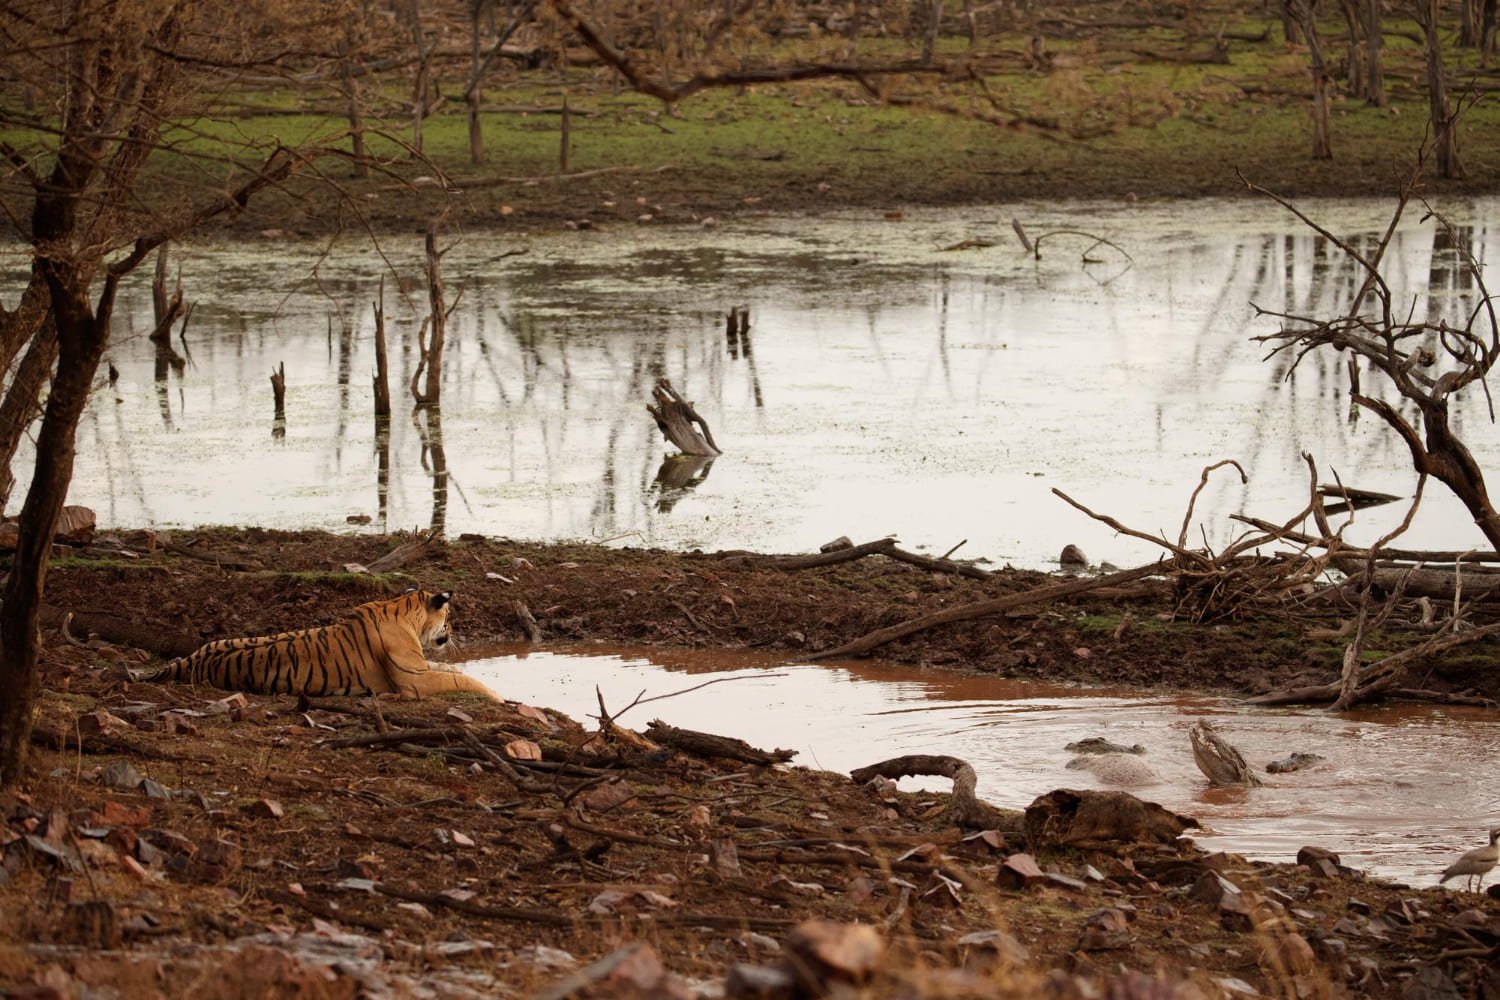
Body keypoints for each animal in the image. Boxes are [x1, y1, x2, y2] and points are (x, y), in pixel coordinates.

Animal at [136, 590, 498, 701]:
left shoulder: (421, 666)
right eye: (449, 616)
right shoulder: (415, 678)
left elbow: (449, 669)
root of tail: (193, 660)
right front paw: (495, 695)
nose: (453, 631)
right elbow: (462, 680)